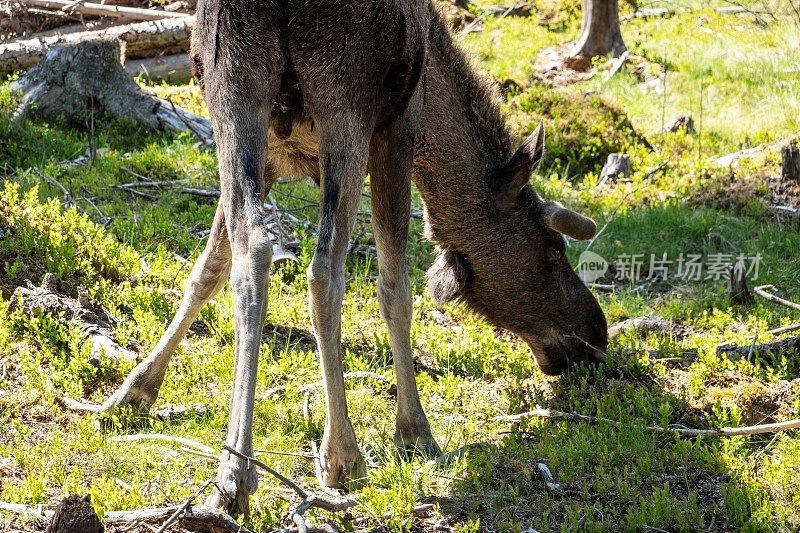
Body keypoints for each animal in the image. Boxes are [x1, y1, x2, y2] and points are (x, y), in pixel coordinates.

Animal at [98, 0, 608, 516]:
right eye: (552, 249)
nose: (595, 335)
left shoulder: (270, 156)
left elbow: (208, 267)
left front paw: (134, 390)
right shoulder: (396, 129)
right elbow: (396, 288)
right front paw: (414, 431)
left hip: (235, 92)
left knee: (252, 250)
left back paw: (235, 469)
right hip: (342, 98)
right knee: (324, 271)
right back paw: (342, 453)